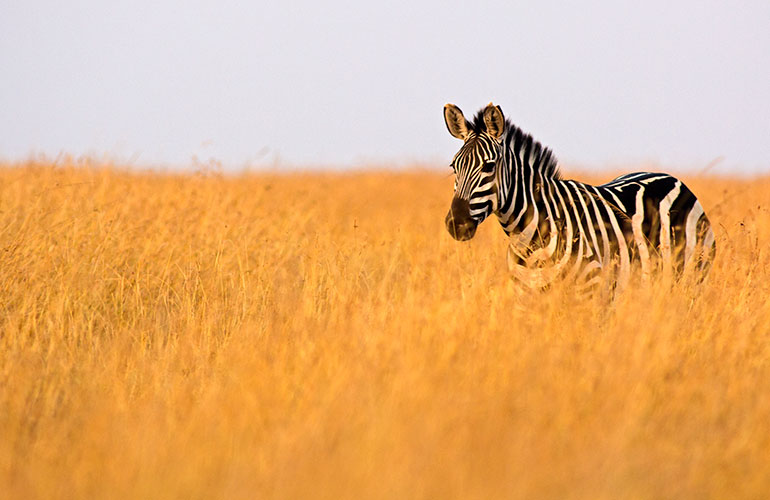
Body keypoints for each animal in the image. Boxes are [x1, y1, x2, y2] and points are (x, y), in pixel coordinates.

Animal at [443, 102, 716, 289]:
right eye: (454, 167)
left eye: (489, 167)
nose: (456, 223)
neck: (529, 237)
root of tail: (669, 176)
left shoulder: (590, 290)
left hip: (693, 276)